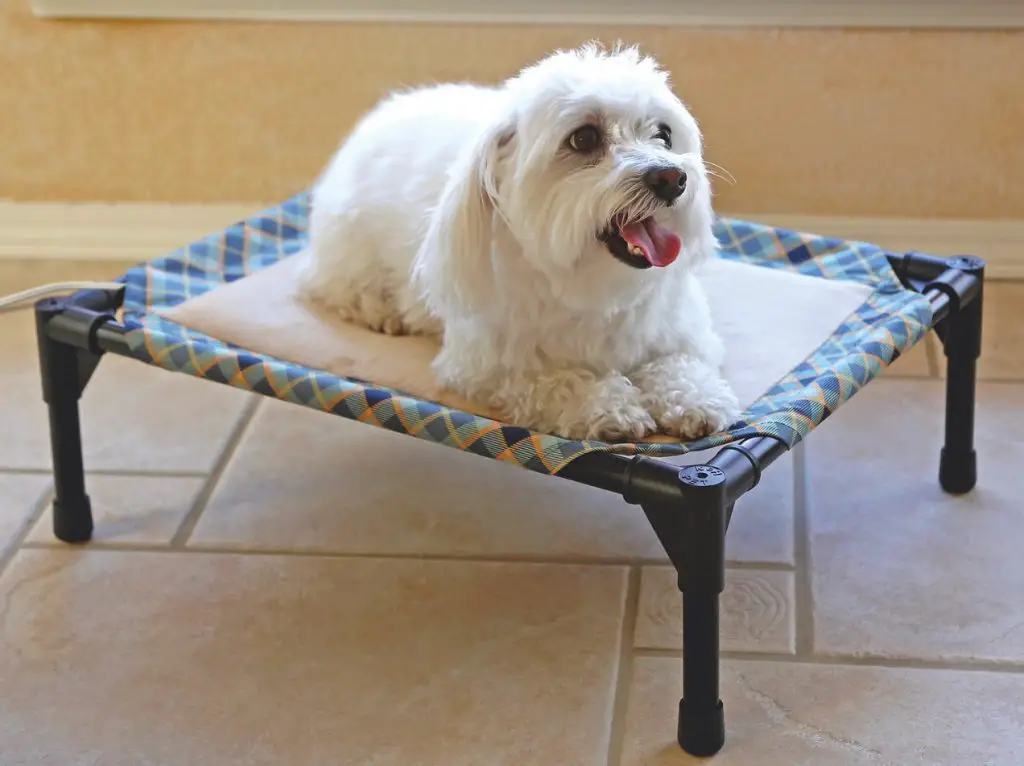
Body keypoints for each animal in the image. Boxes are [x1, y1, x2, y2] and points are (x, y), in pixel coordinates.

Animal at [299, 43, 741, 442]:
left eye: (664, 134)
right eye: (584, 138)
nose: (672, 178)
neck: (591, 283)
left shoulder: (681, 330)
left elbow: (681, 363)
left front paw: (695, 398)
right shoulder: (487, 363)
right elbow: (555, 381)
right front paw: (606, 405)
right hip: (349, 241)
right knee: (337, 285)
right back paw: (379, 309)